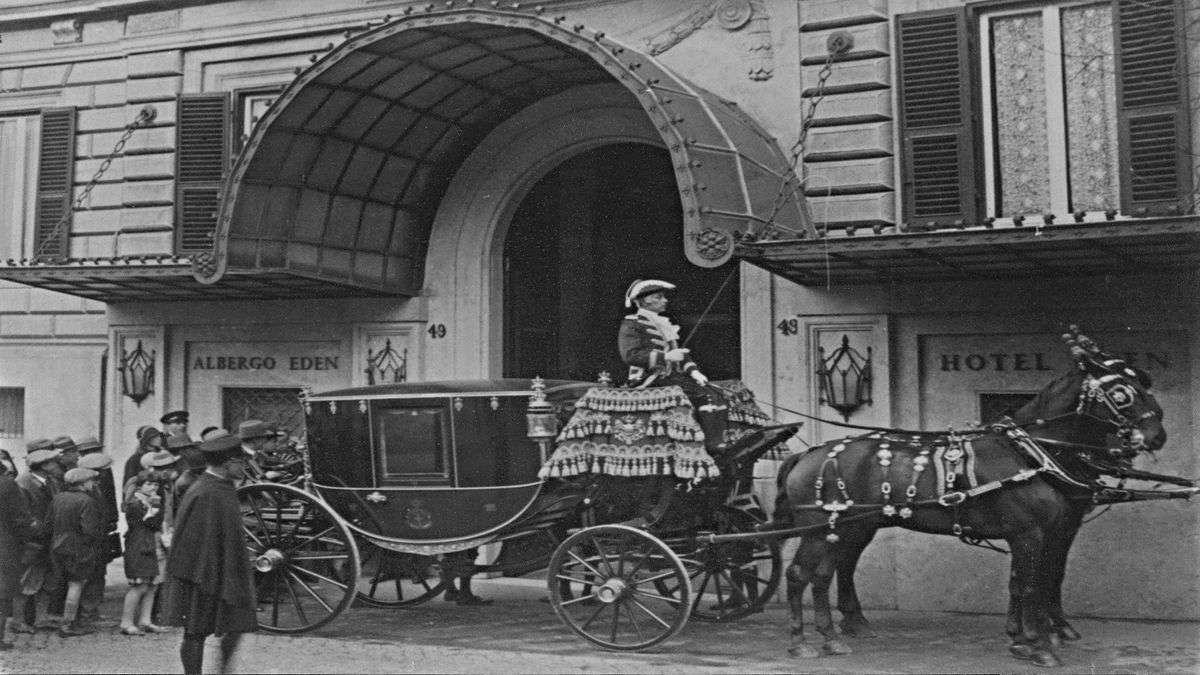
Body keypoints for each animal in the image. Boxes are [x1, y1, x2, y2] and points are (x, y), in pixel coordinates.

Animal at [777, 326, 1161, 667]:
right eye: (1121, 391)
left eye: (1143, 382)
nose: (1157, 435)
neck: (1030, 455)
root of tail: (809, 453)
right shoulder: (1029, 533)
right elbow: (1032, 584)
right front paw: (1038, 645)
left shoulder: (1051, 530)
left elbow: (1032, 581)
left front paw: (1027, 638)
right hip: (821, 529)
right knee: (799, 574)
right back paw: (800, 643)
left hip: (846, 527)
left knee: (826, 572)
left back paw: (834, 636)